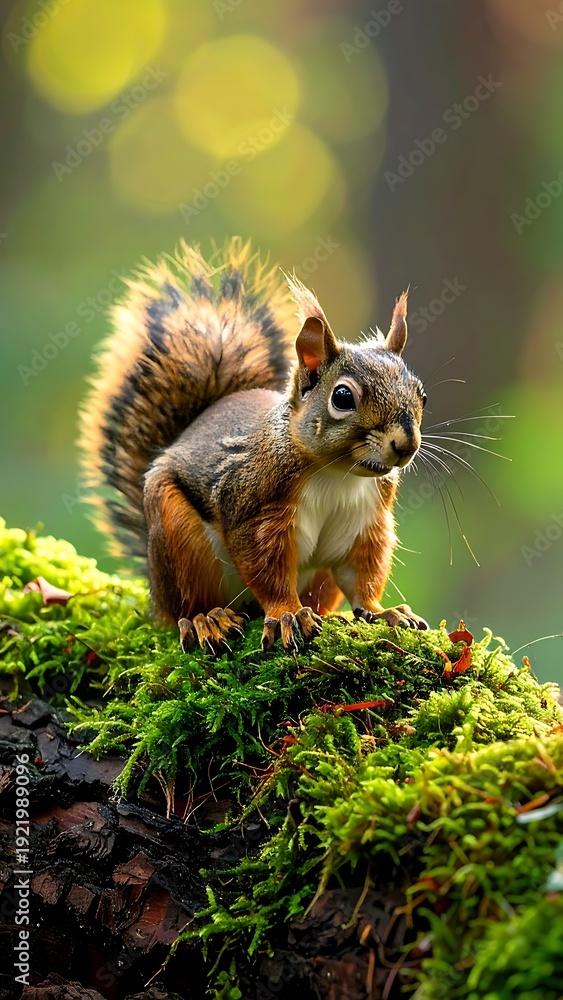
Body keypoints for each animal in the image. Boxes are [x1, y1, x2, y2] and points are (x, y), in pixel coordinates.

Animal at [80, 237, 429, 655]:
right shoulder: (253, 506)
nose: (406, 443)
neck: (337, 475)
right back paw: (206, 619)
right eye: (343, 397)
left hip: (318, 581)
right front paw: (287, 615)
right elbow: (267, 570)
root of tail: (154, 590)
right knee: (185, 605)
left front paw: (382, 612)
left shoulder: (368, 521)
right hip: (177, 536)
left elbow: (361, 575)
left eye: (422, 394)